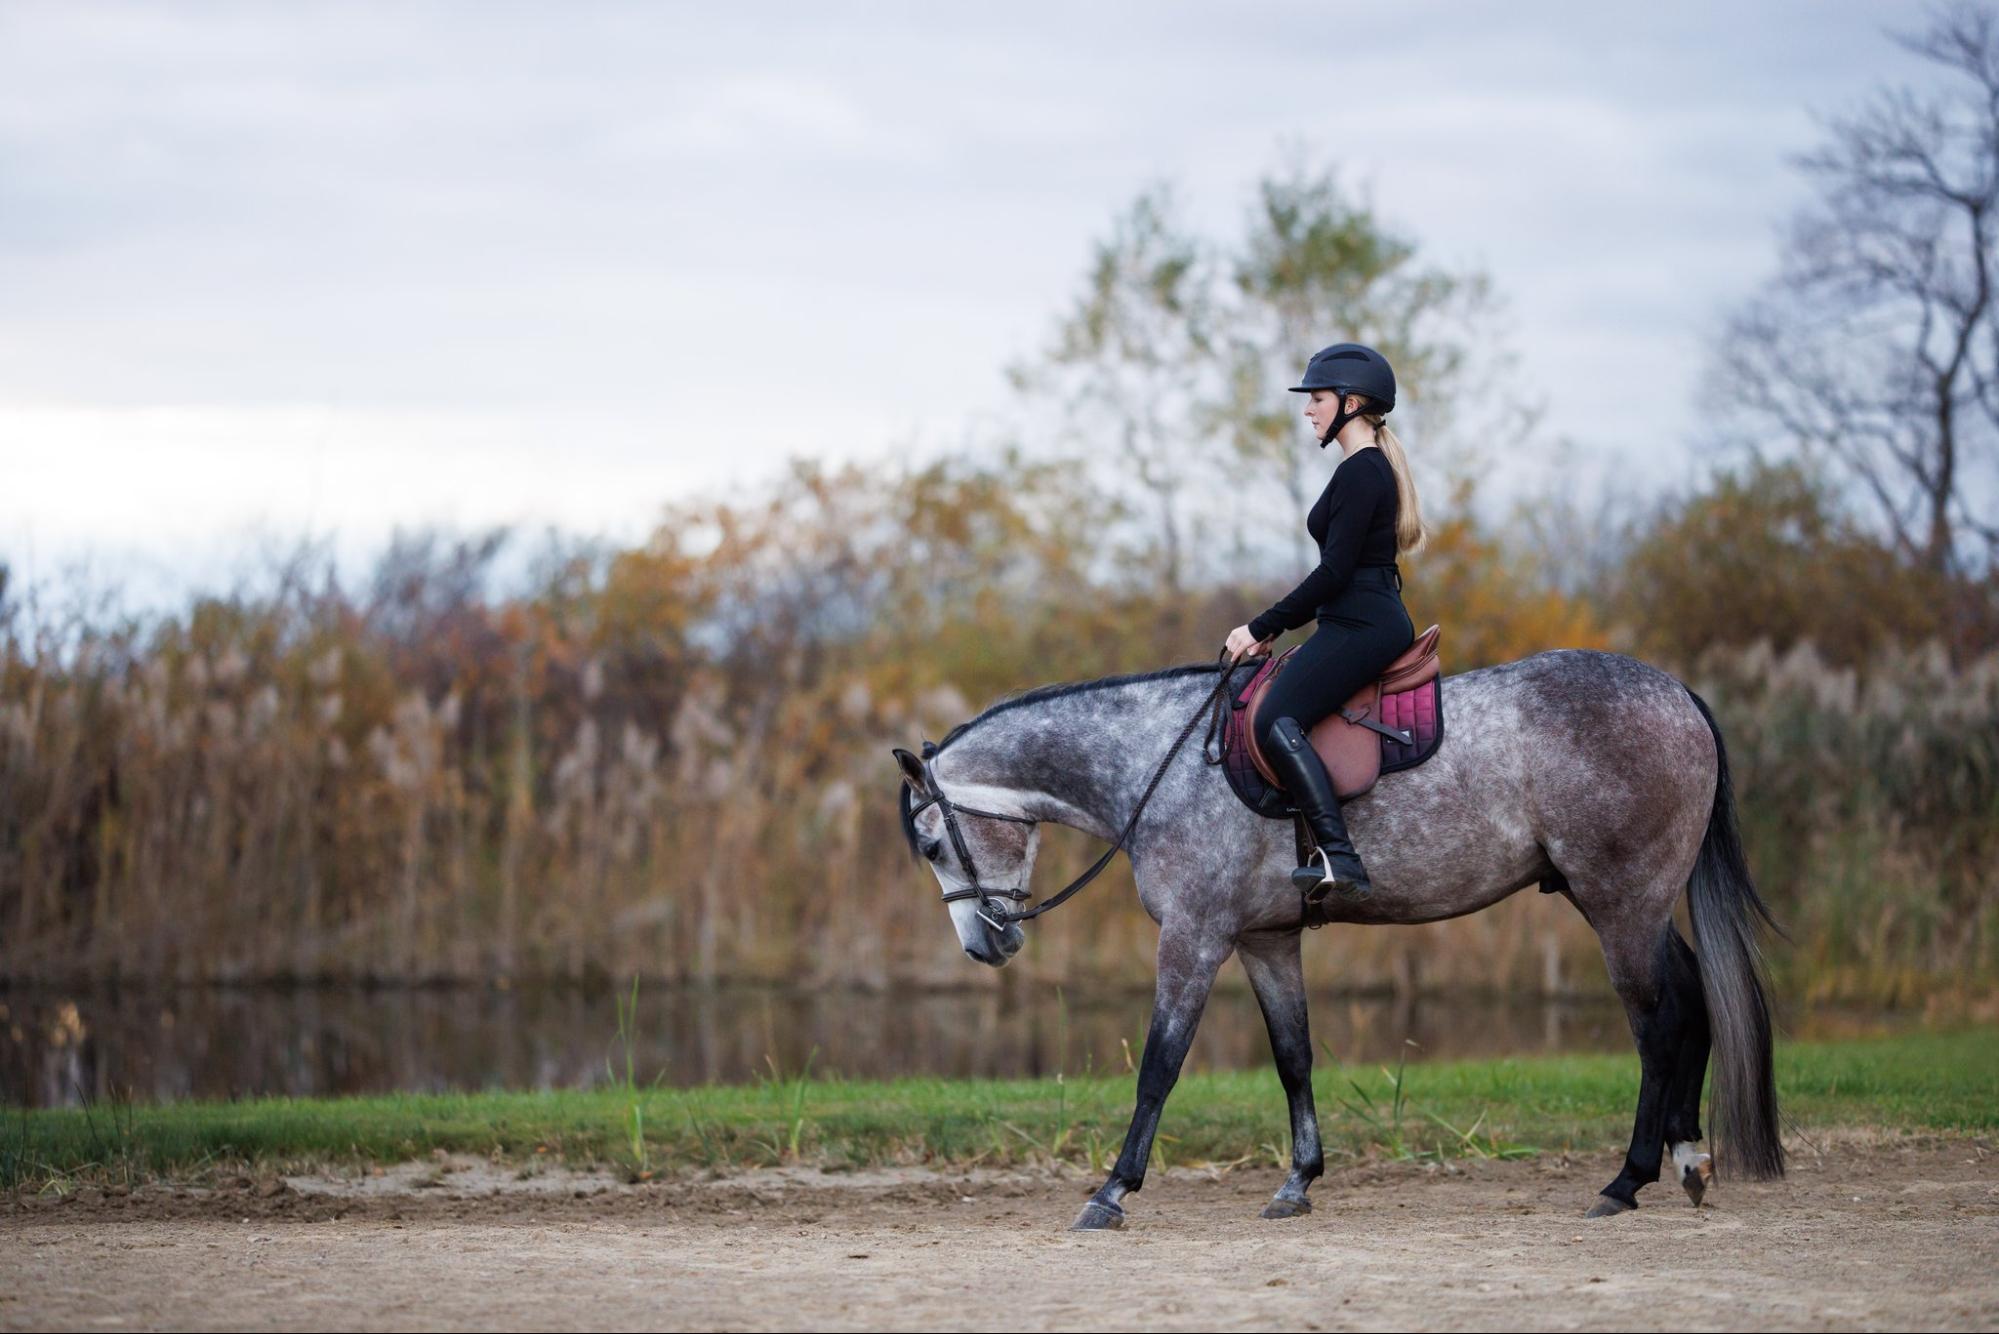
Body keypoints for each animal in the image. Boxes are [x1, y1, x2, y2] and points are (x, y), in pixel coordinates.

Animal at [891, 648, 1783, 1232]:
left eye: (931, 845)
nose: (983, 946)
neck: (1159, 765)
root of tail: (1675, 693)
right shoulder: (1266, 941)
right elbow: (1293, 1058)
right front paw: (1297, 1182)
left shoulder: (1193, 937)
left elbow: (1158, 1067)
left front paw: (1112, 1190)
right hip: (1633, 905)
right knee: (1692, 1004)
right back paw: (1686, 1160)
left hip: (1619, 905)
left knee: (1657, 1026)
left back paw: (1627, 1180)